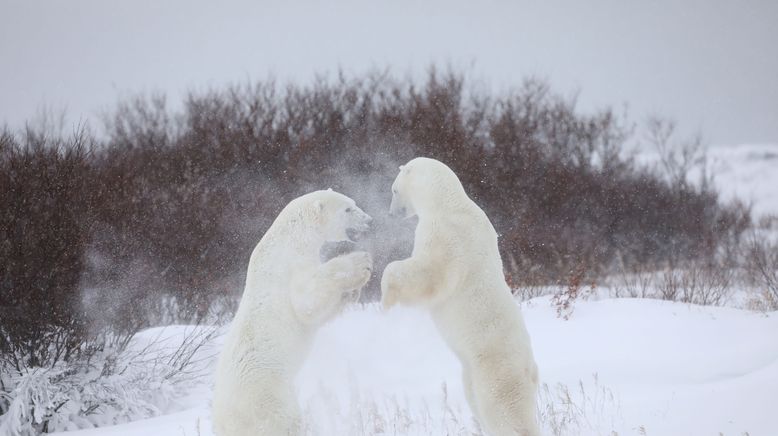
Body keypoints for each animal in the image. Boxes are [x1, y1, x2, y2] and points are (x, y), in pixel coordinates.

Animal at [211, 190, 372, 436]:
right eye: (347, 208)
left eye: (353, 203)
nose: (370, 221)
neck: (290, 239)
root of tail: (224, 421)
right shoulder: (289, 267)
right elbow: (306, 302)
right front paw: (361, 263)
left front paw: (352, 292)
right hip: (267, 396)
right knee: (285, 420)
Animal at [378, 157, 536, 436]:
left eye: (394, 190)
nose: (392, 213)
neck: (449, 201)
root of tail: (530, 369)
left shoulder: (446, 235)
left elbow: (429, 273)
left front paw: (386, 299)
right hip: (473, 371)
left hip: (495, 367)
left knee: (505, 408)